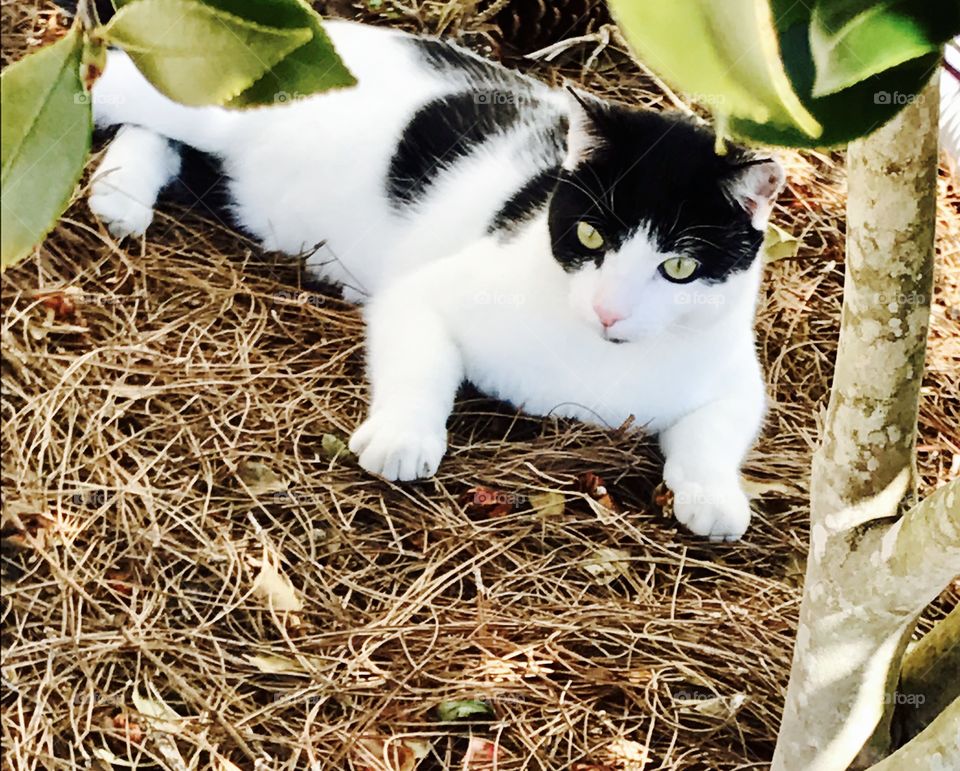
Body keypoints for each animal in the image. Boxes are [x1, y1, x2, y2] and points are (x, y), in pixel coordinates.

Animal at [84, 15, 788, 540]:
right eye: (591, 235)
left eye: (680, 268)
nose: (609, 311)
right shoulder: (422, 297)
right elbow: (422, 363)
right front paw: (404, 436)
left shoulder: (735, 376)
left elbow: (717, 430)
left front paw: (713, 496)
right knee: (110, 83)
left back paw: (122, 194)